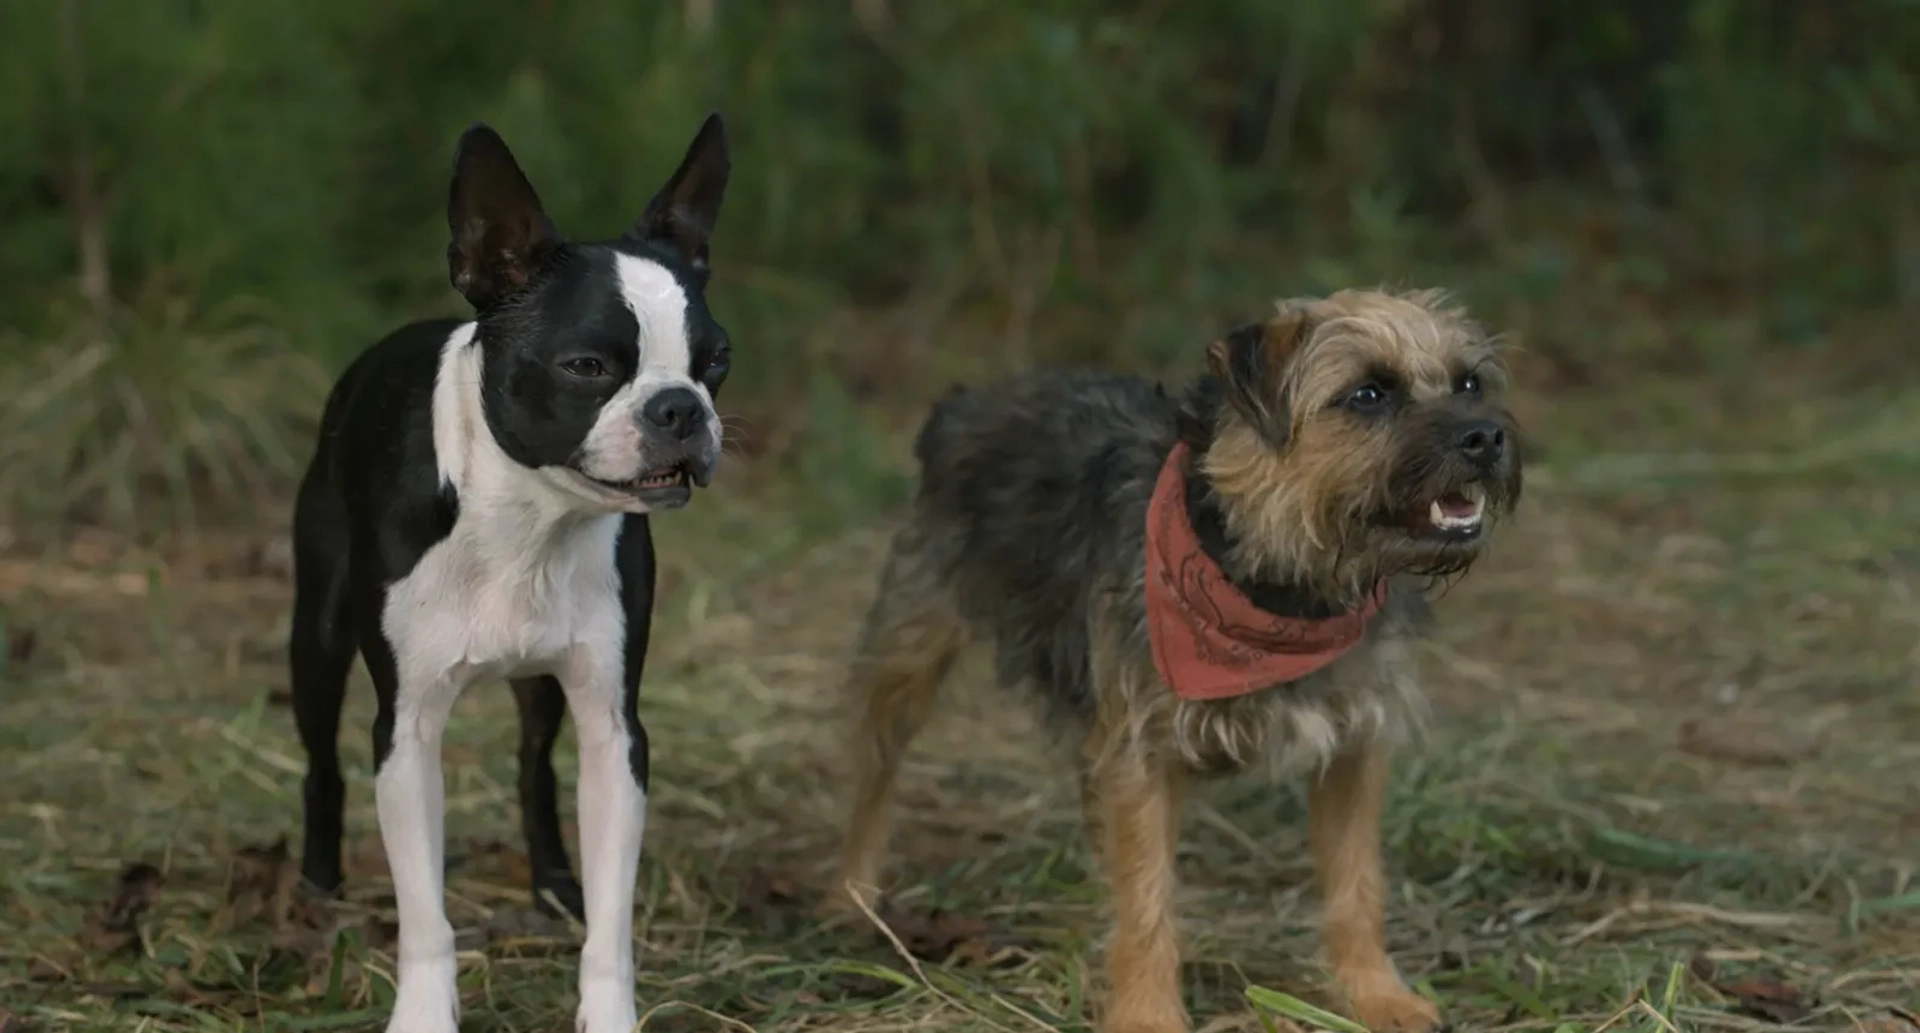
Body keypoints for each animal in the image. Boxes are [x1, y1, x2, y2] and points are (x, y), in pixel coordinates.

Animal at [288, 114, 729, 1029]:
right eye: (587, 367)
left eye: (716, 363)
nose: (681, 407)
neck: (528, 519)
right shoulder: (408, 731)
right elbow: (425, 914)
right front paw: (424, 1013)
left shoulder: (614, 728)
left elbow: (612, 923)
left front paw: (608, 1010)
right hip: (315, 634)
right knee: (319, 761)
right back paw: (316, 884)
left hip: (547, 682)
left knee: (533, 763)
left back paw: (555, 880)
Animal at [833, 288, 1520, 1029]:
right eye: (1368, 393)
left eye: (1470, 384)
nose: (1486, 436)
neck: (1277, 580)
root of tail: (963, 402)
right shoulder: (1142, 753)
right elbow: (1146, 896)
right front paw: (1145, 1012)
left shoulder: (1354, 750)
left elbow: (1357, 882)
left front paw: (1374, 994)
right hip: (907, 655)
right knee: (874, 776)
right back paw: (853, 896)